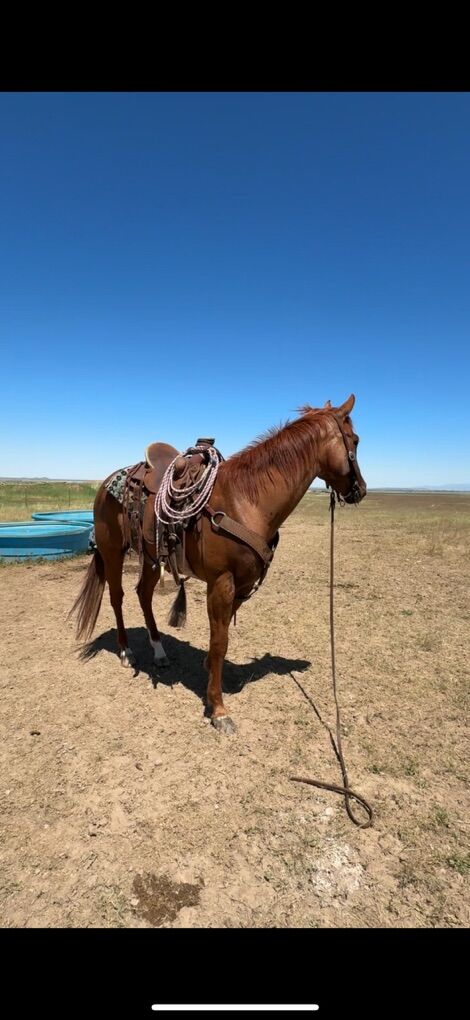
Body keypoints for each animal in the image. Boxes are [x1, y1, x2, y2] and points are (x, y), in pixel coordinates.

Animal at [70, 394, 366, 733]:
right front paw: (219, 709)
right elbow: (221, 640)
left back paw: (159, 651)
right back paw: (127, 652)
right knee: (117, 596)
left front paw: (208, 668)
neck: (247, 500)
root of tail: (106, 483)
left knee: (143, 594)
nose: (361, 489)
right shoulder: (221, 582)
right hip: (113, 552)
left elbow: (219, 639)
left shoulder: (242, 583)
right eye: (355, 439)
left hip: (152, 558)